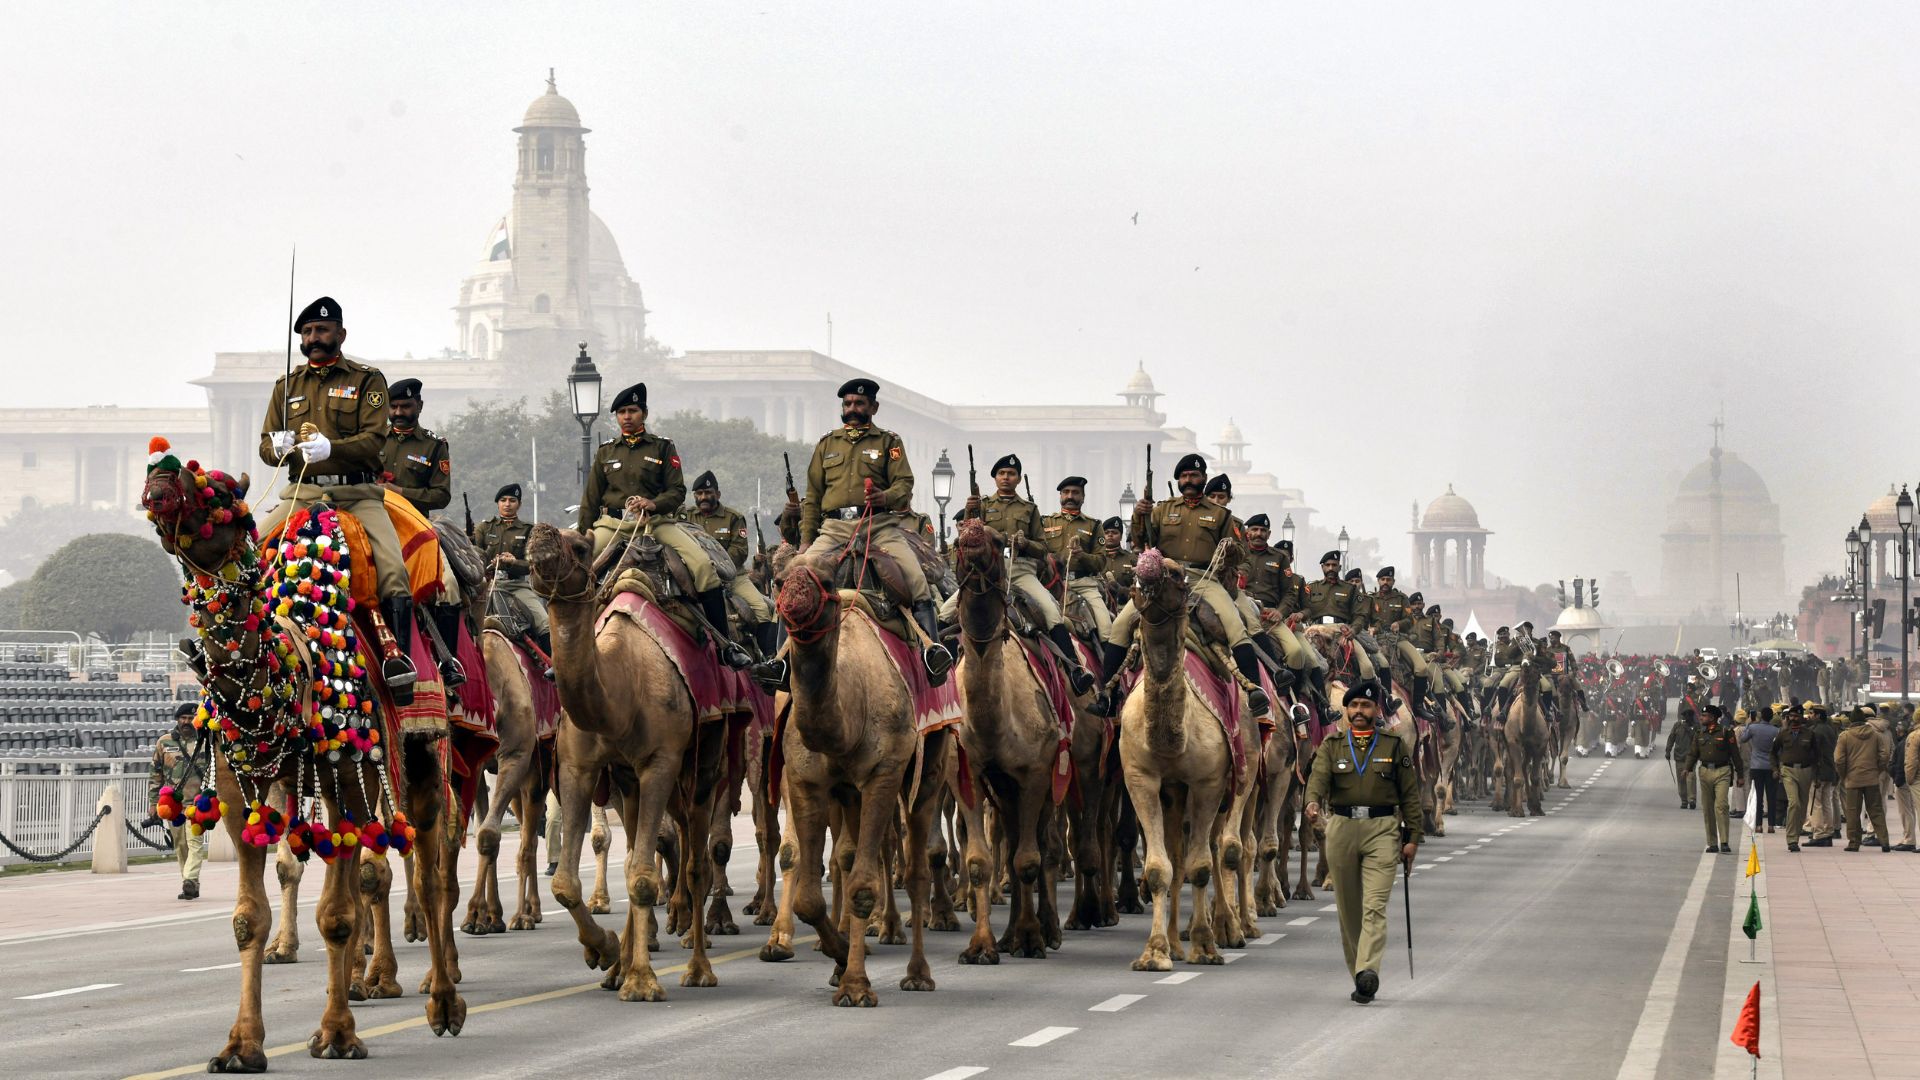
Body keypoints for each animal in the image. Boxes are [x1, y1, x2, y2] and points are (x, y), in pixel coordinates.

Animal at [142, 449, 464, 1060]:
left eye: (222, 492)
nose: (160, 474)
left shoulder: (349, 777)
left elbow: (337, 915)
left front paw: (337, 1034)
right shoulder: (239, 786)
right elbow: (249, 918)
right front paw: (241, 1046)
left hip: (423, 752)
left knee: (431, 871)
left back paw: (443, 1000)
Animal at [526, 526, 725, 999]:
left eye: (581, 547)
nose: (540, 535)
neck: (621, 689)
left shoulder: (660, 762)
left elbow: (643, 878)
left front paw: (641, 982)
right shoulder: (579, 766)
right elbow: (567, 882)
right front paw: (605, 951)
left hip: (706, 762)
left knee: (697, 863)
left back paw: (698, 968)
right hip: (626, 782)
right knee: (642, 847)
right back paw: (623, 963)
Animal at [756, 557, 952, 1006]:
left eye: (826, 581)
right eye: (781, 580)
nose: (793, 605)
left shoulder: (882, 776)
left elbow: (864, 885)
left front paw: (856, 986)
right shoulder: (806, 780)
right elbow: (809, 894)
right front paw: (841, 957)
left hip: (928, 772)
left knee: (917, 867)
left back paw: (918, 974)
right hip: (847, 795)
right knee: (847, 855)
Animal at [952, 522, 1075, 957]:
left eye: (993, 538)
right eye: (958, 541)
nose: (972, 533)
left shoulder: (1036, 772)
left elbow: (1028, 860)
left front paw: (1032, 938)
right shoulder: (968, 773)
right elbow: (980, 861)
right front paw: (982, 946)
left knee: (1045, 843)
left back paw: (1050, 930)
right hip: (1002, 787)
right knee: (1012, 834)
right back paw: (1008, 937)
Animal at [1113, 549, 1259, 972]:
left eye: (1176, 573)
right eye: (1137, 570)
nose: (1148, 573)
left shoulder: (1208, 782)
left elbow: (1201, 865)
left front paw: (1206, 947)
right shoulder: (1142, 778)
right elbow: (1161, 869)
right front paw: (1155, 953)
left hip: (1241, 774)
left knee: (1221, 847)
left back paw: (1228, 929)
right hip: (1174, 793)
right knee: (1181, 856)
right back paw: (1180, 942)